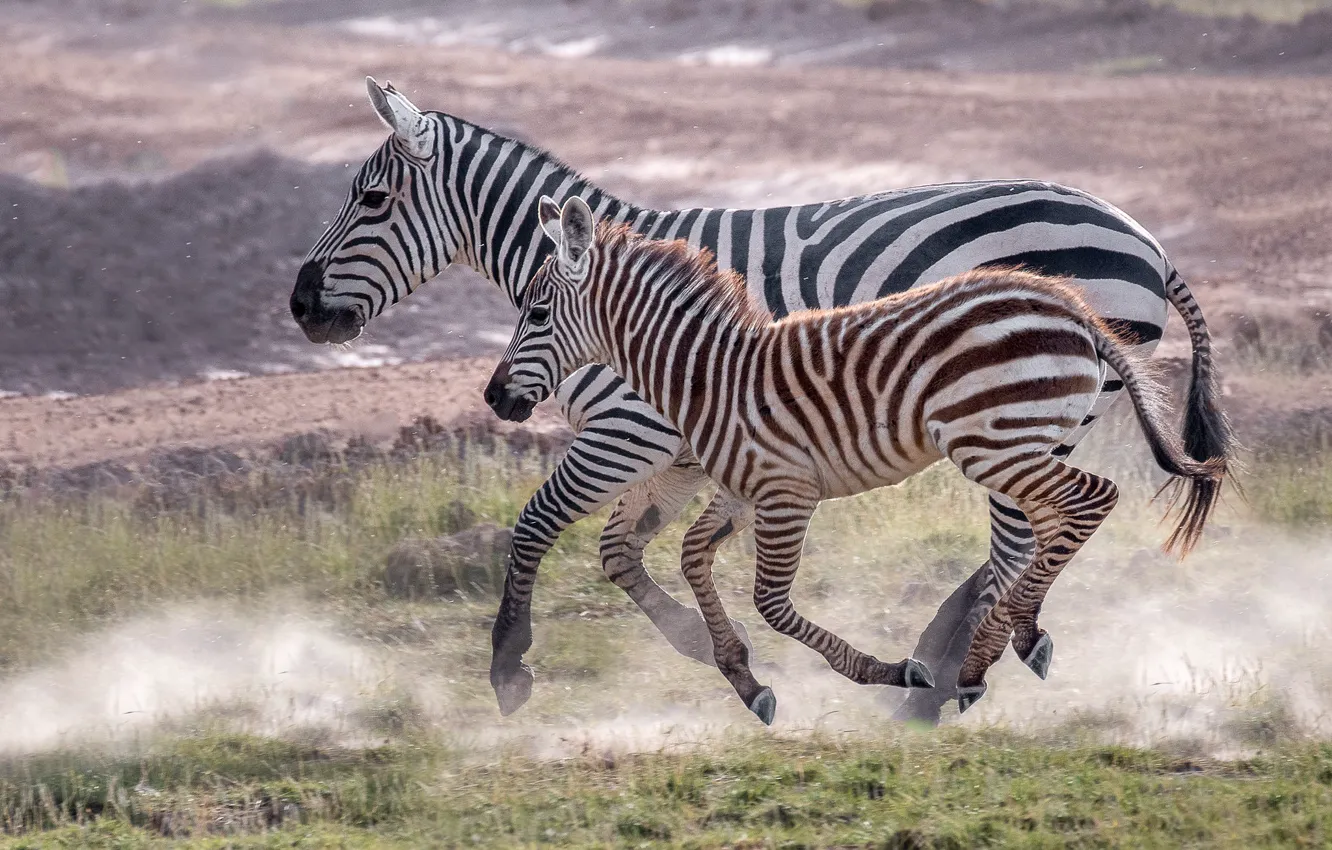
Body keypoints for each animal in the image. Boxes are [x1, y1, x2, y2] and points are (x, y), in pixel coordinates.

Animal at [484, 197, 1228, 721]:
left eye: (538, 314)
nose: (494, 398)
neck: (709, 373)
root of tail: (1079, 315)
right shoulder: (741, 490)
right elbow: (695, 559)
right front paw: (743, 678)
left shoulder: (787, 492)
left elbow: (772, 601)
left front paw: (887, 672)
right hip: (1022, 440)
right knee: (1053, 521)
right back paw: (1014, 640)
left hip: (995, 442)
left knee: (1086, 501)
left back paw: (980, 660)